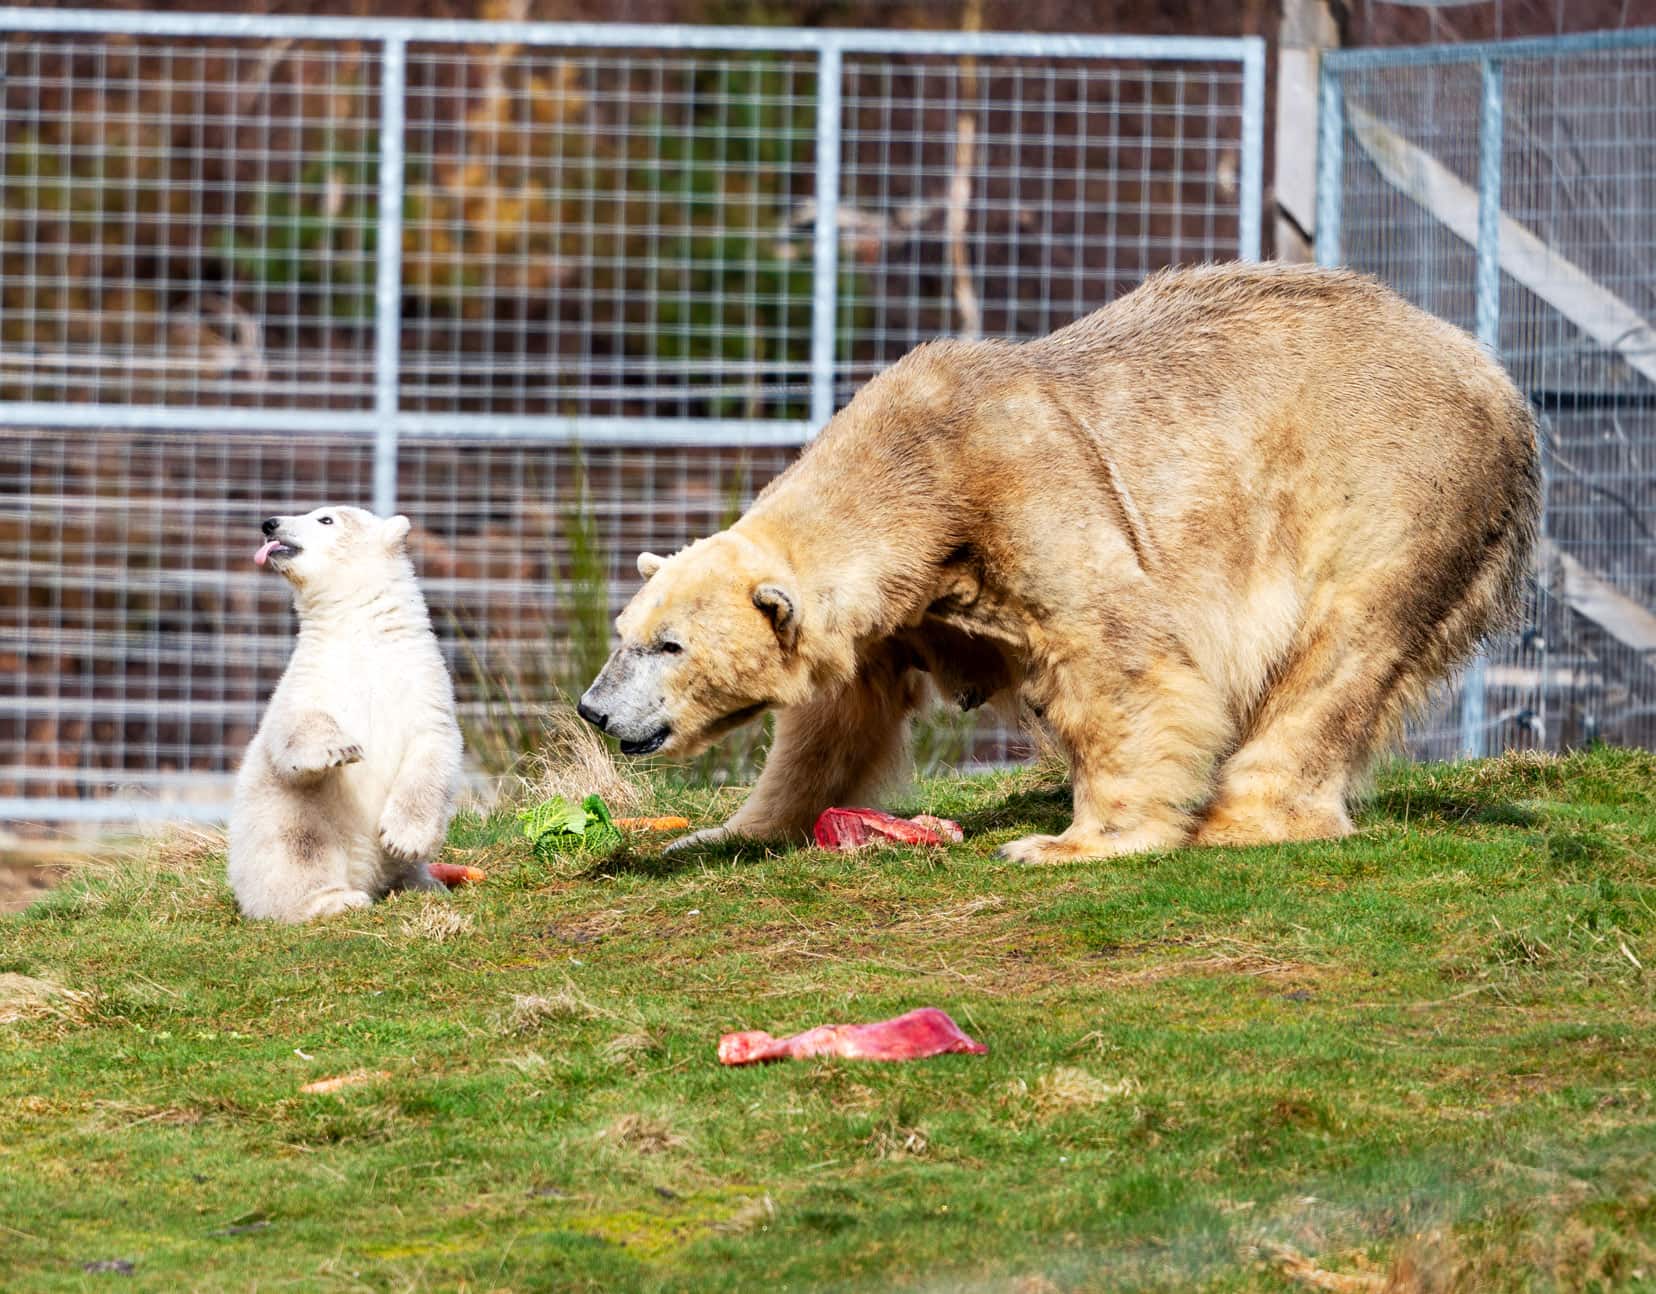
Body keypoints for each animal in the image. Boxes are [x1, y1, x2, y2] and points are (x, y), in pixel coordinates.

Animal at [579, 261, 1536, 854]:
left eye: (670, 645)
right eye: (627, 631)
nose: (594, 710)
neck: (919, 475)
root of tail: (1496, 379)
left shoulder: (1028, 491)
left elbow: (1124, 662)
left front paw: (1070, 843)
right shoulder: (893, 609)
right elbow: (835, 722)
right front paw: (736, 828)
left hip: (1396, 482)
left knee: (1343, 647)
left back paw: (1242, 816)